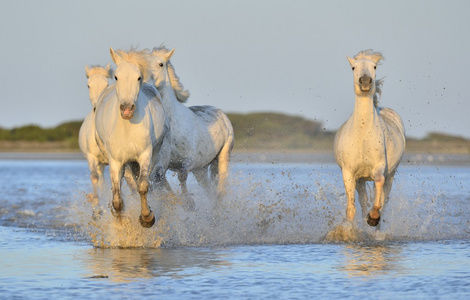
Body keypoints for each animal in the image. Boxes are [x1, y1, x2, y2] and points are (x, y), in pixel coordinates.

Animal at [94, 49, 172, 227]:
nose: (127, 109)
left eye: (138, 77)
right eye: (116, 77)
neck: (127, 128)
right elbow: (117, 198)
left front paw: (147, 218)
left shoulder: (144, 155)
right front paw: (121, 222)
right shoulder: (115, 161)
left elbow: (142, 186)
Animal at [147, 47, 235, 202]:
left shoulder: (187, 161)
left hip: (223, 156)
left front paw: (189, 202)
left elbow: (181, 177)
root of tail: (221, 113)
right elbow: (163, 182)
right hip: (201, 169)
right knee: (210, 190)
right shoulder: (160, 165)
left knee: (220, 188)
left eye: (161, 64)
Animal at [334, 49, 404, 227]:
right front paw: (350, 230)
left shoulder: (379, 167)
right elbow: (351, 208)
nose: (365, 81)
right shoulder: (349, 173)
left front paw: (373, 217)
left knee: (384, 199)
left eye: (374, 66)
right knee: (363, 200)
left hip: (391, 175)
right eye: (353, 67)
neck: (363, 136)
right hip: (360, 180)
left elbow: (378, 187)